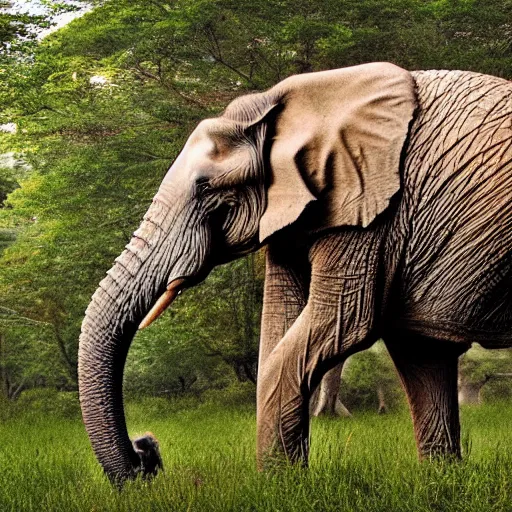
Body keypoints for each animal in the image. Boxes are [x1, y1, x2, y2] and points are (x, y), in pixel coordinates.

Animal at [76, 62, 512, 482]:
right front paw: (440, 480)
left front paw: (278, 484)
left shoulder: (372, 209)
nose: (146, 451)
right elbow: (288, 327)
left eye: (204, 188)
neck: (283, 105)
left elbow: (340, 327)